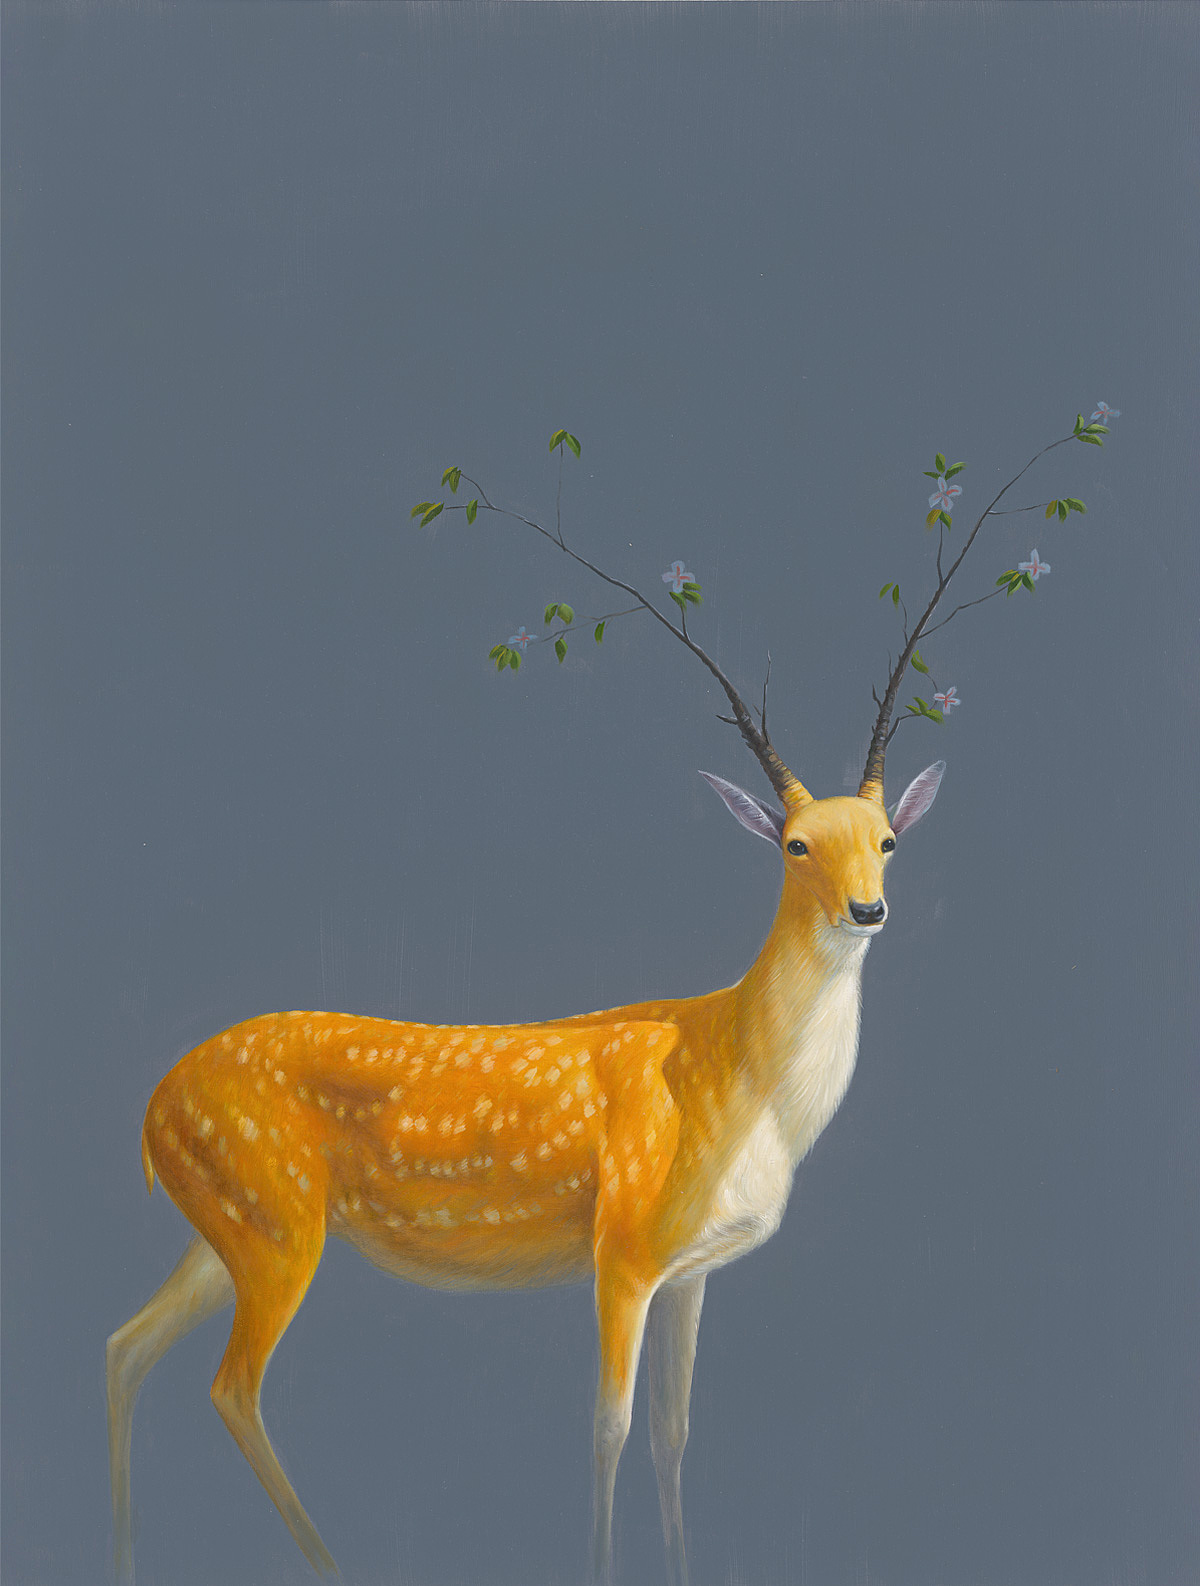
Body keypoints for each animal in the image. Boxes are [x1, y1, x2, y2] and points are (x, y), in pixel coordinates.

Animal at [106, 412, 1113, 1586]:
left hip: (227, 1219)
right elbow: (609, 1430)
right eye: (794, 843)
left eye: (890, 840)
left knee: (125, 1345)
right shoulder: (622, 1242)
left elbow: (675, 1434)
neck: (742, 1085)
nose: (868, 908)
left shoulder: (690, 1267)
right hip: (275, 1219)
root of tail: (150, 1109)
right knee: (231, 1385)